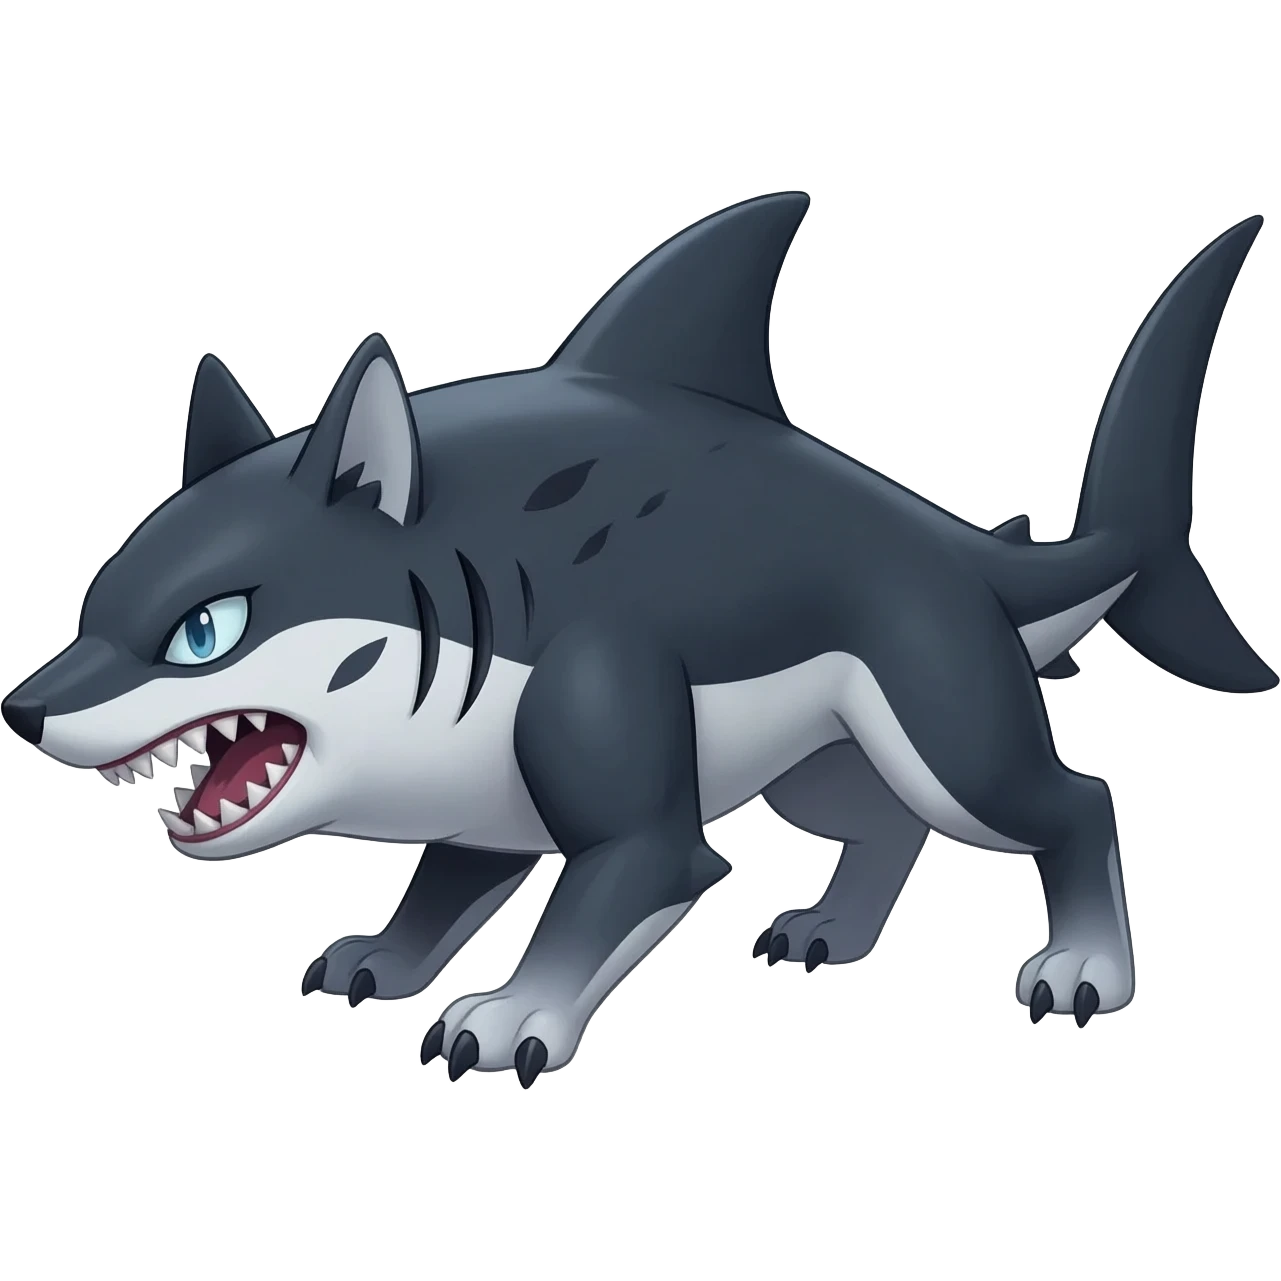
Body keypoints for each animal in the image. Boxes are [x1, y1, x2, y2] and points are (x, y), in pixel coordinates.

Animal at [3, 194, 1274, 1086]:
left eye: (203, 630)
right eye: (86, 612)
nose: (24, 705)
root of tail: (956, 543)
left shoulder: (607, 723)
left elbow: (632, 881)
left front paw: (511, 1015)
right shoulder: (482, 793)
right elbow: (446, 890)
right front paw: (387, 959)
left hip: (940, 701)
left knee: (1071, 802)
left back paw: (1086, 970)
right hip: (819, 759)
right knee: (881, 821)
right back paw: (830, 934)